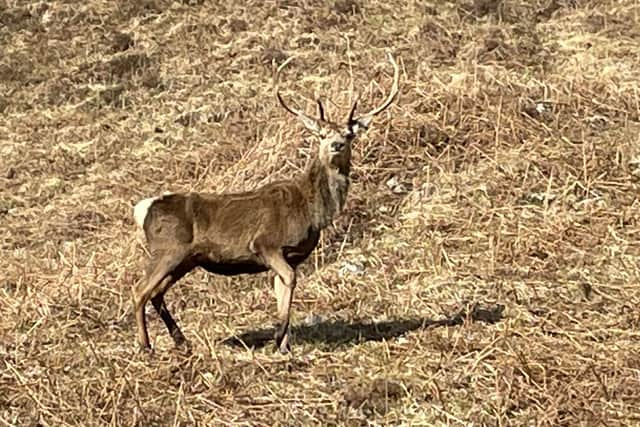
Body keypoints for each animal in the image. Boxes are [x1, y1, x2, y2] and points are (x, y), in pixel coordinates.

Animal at [132, 53, 398, 354]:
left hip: (186, 259)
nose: (337, 144)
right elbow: (289, 282)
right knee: (140, 290)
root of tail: (143, 209)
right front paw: (277, 338)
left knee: (156, 293)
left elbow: (284, 290)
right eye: (321, 134)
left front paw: (283, 345)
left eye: (349, 134)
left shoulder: (290, 256)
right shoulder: (265, 243)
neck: (311, 209)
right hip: (168, 250)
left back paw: (181, 340)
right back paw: (145, 345)